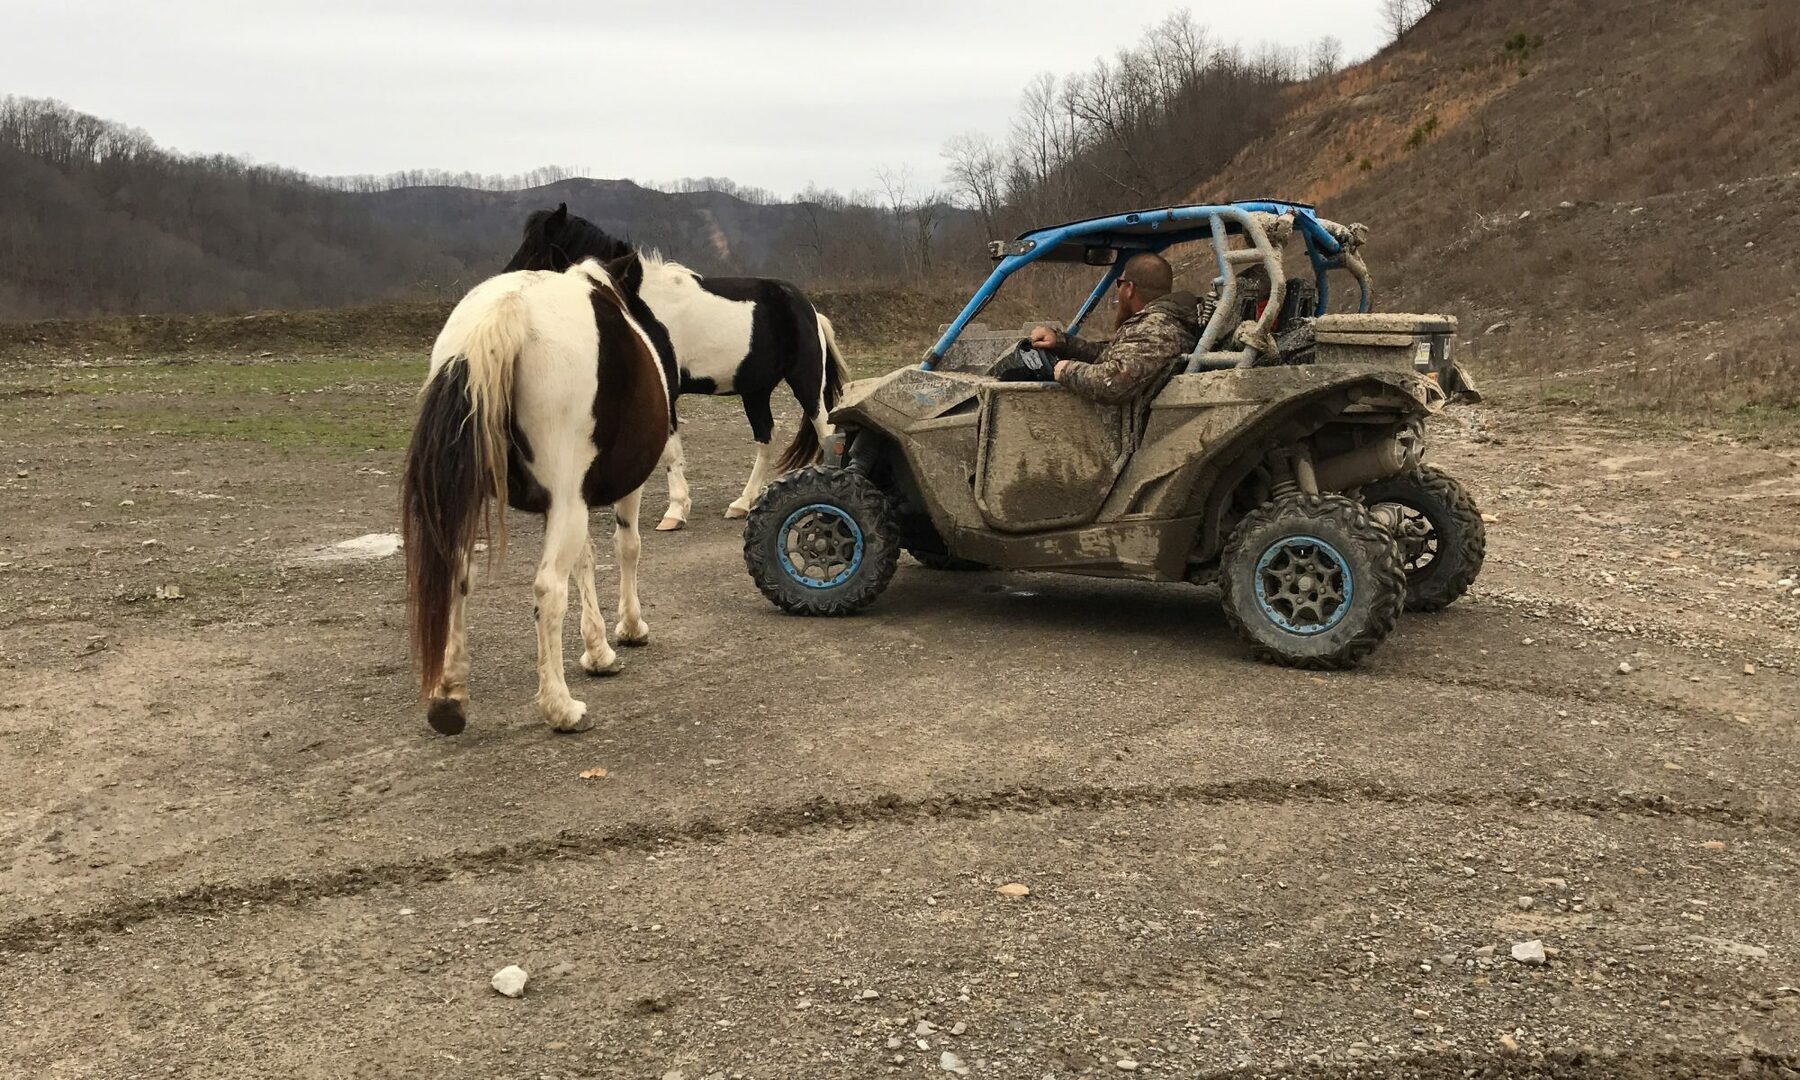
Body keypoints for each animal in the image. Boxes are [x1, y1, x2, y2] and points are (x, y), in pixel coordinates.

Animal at [401, 254, 676, 735]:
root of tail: (507, 310)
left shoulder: (572, 498)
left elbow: (585, 560)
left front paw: (598, 651)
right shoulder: (614, 490)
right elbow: (626, 547)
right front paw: (629, 628)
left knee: (459, 574)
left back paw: (450, 699)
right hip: (567, 501)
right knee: (548, 589)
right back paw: (561, 708)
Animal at [502, 204, 849, 530]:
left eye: (536, 248)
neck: (638, 303)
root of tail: (809, 309)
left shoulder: (665, 388)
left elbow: (668, 450)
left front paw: (675, 512)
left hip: (807, 384)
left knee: (826, 433)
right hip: (755, 391)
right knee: (767, 440)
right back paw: (742, 504)